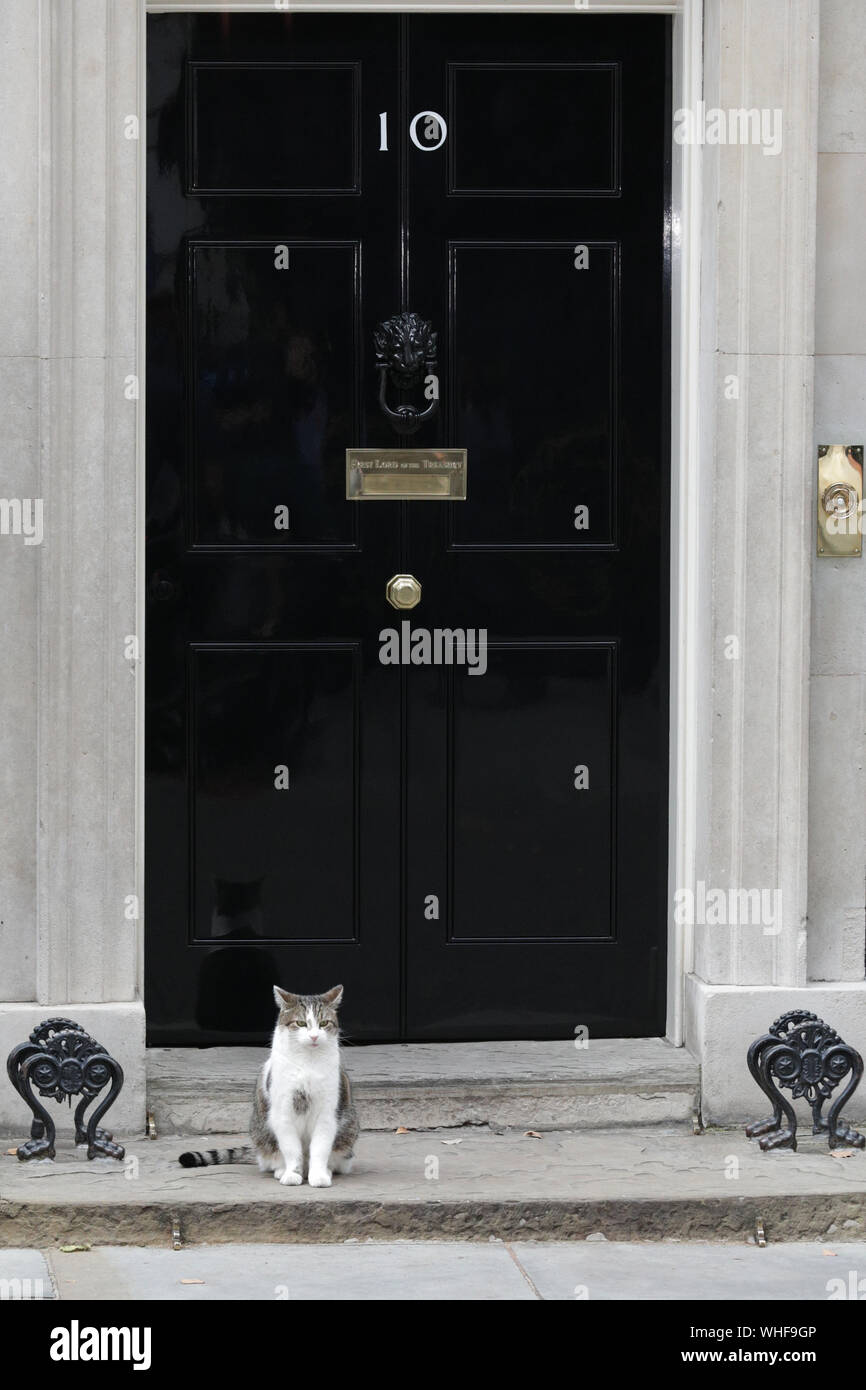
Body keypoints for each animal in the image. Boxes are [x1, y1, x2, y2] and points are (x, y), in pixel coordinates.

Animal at [179, 984, 358, 1189]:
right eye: (301, 1023)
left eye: (323, 1023)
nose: (314, 1036)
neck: (307, 1062)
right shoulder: (283, 1112)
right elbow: (291, 1149)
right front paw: (291, 1174)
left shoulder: (327, 1113)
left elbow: (320, 1149)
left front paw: (319, 1176)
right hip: (261, 1132)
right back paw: (282, 1171)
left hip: (348, 1131)